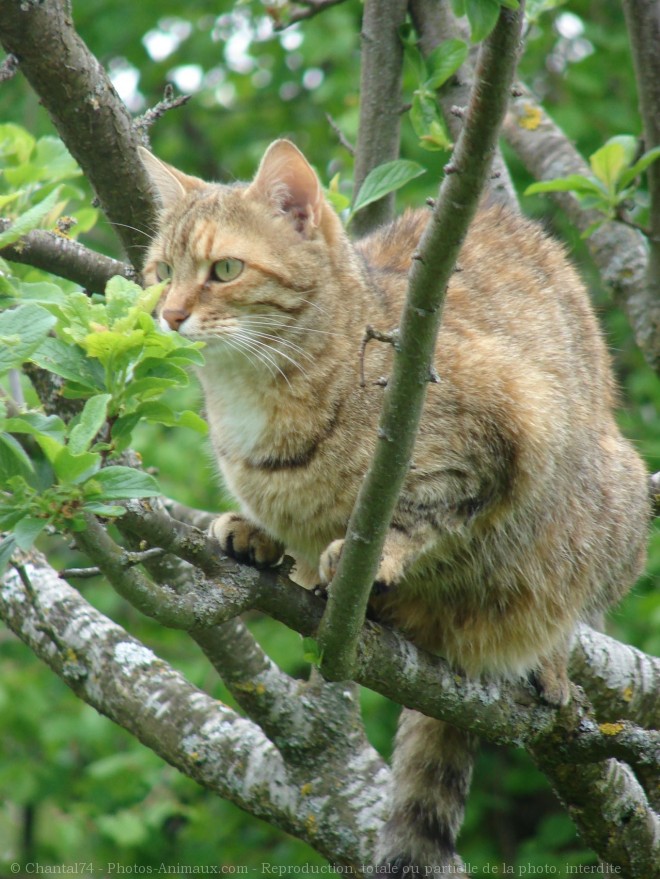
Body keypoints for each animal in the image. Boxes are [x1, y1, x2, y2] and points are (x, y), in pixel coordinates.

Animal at [139, 141, 648, 868]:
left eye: (225, 269)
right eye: (161, 272)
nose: (170, 314)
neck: (252, 400)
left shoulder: (504, 428)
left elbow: (427, 507)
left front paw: (372, 549)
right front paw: (261, 534)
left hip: (614, 499)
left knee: (571, 613)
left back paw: (548, 659)